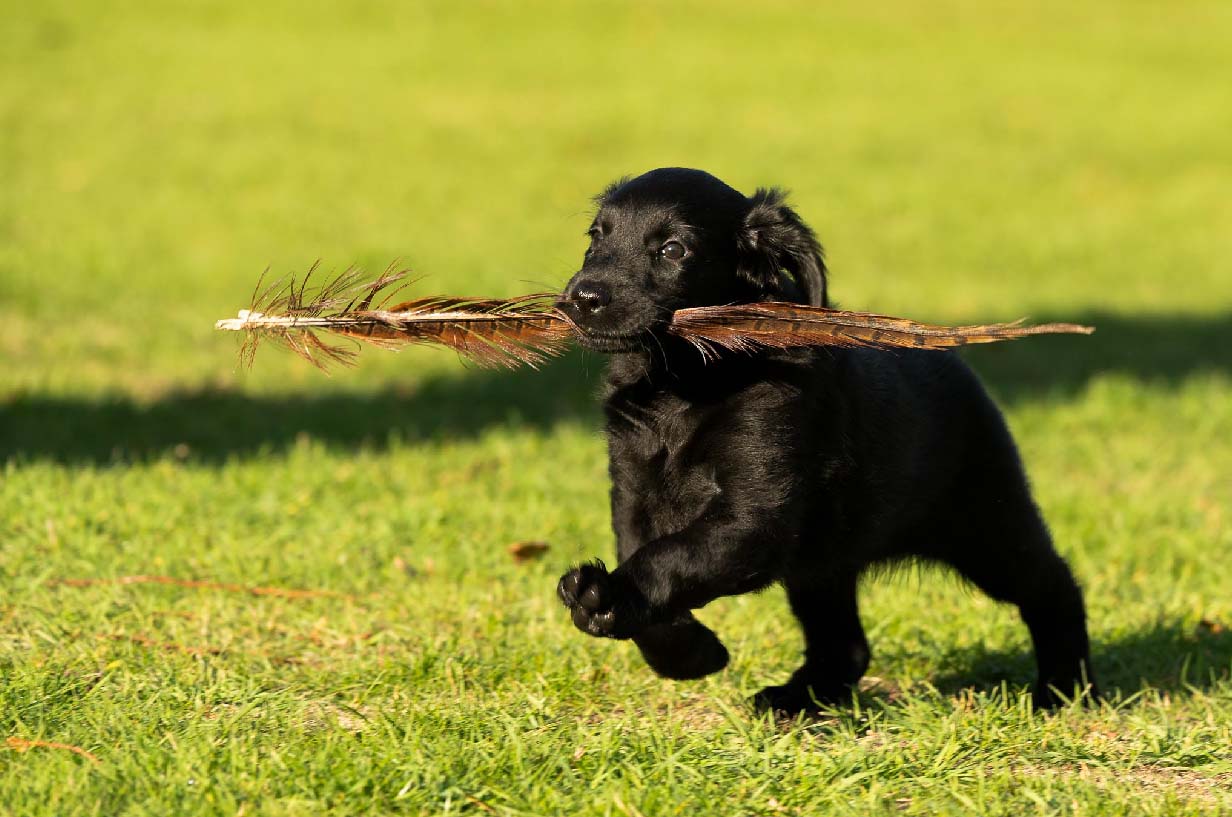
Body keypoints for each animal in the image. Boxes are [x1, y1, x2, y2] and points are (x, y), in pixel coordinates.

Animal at [554, 168, 1094, 714]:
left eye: (672, 249)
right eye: (595, 238)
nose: (582, 298)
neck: (684, 386)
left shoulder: (754, 517)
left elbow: (670, 561)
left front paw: (605, 596)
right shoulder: (633, 498)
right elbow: (653, 566)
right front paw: (691, 654)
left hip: (987, 525)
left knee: (1052, 586)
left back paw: (1063, 688)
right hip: (823, 564)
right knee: (846, 645)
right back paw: (797, 699)